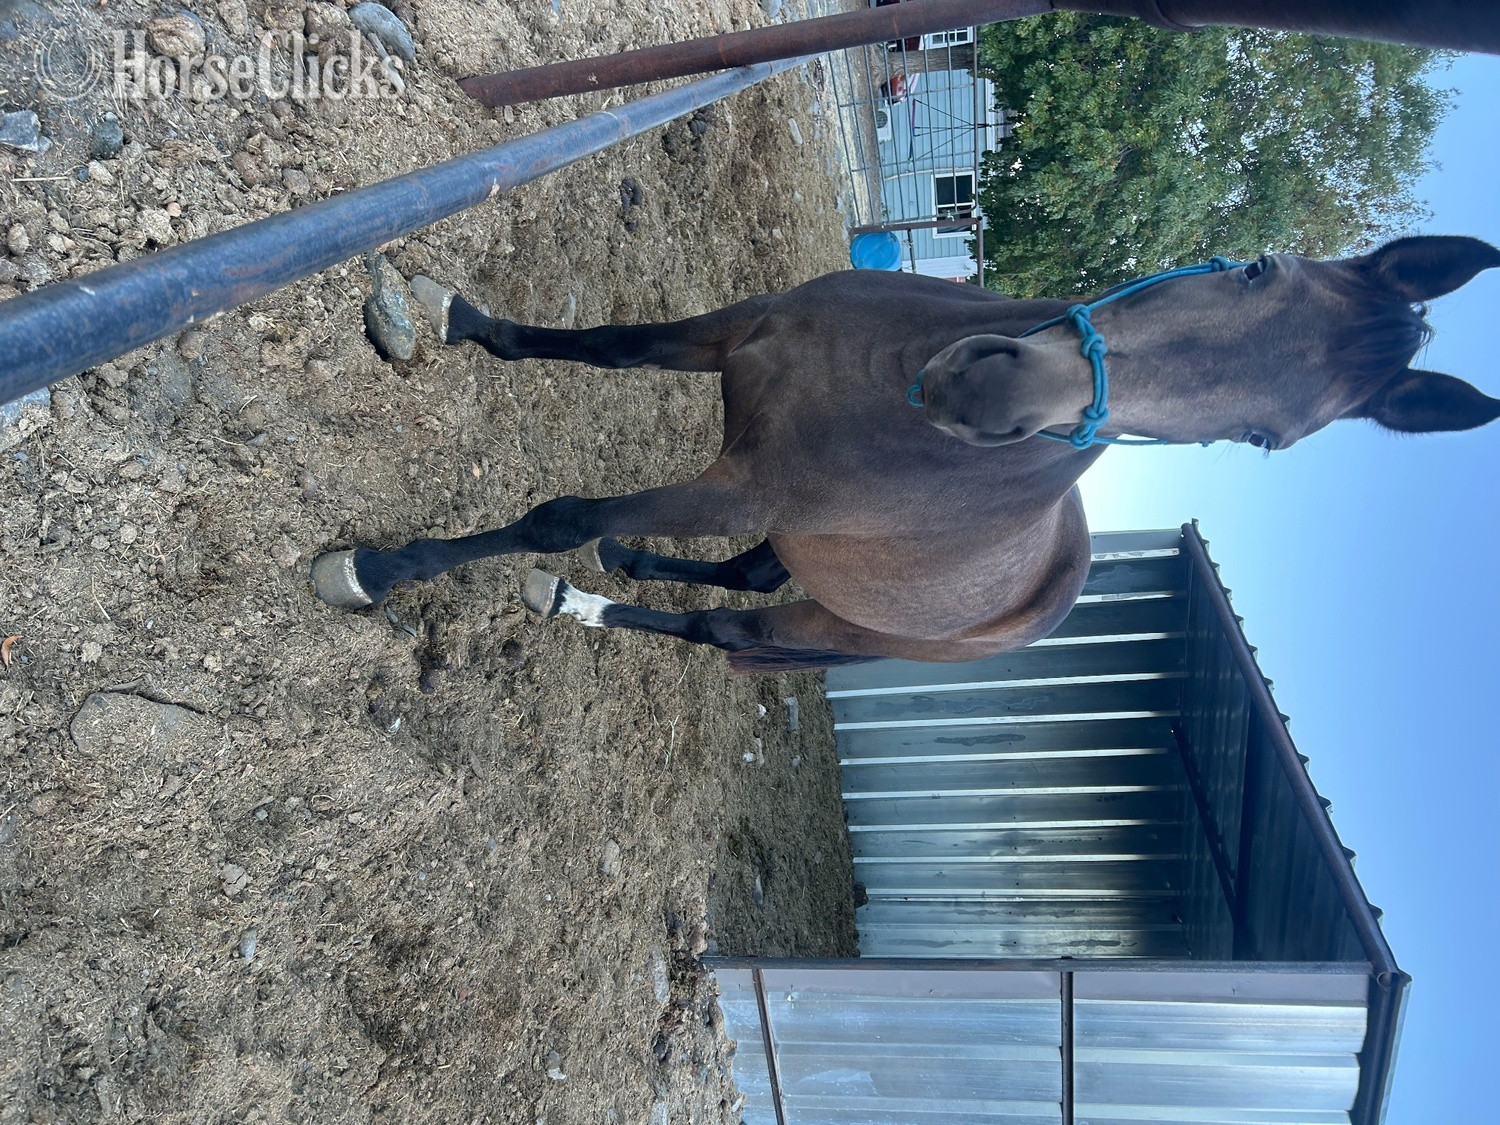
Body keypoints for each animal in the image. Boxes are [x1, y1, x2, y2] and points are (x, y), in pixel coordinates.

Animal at [310, 235, 1500, 672]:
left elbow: (560, 515)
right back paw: (622, 572)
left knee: (727, 620)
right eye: (1257, 267)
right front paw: (461, 319)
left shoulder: (744, 485)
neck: (886, 380)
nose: (989, 392)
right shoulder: (736, 333)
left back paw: (587, 600)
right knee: (738, 573)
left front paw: (377, 568)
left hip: (820, 616)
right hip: (809, 553)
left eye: (1263, 439)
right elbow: (608, 346)